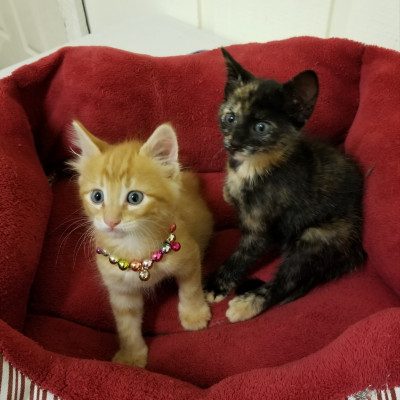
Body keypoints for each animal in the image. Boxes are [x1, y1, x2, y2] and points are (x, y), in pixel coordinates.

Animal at [70, 121, 213, 368]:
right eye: (97, 196)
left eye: (134, 198)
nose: (111, 221)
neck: (134, 246)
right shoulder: (119, 288)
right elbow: (126, 324)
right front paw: (131, 356)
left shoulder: (189, 255)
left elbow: (191, 288)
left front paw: (194, 315)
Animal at [203, 48, 366, 323]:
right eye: (230, 117)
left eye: (261, 127)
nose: (234, 143)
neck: (254, 165)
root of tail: (355, 248)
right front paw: (228, 191)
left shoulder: (260, 230)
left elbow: (242, 255)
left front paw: (216, 284)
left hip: (317, 236)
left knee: (288, 280)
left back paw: (250, 303)